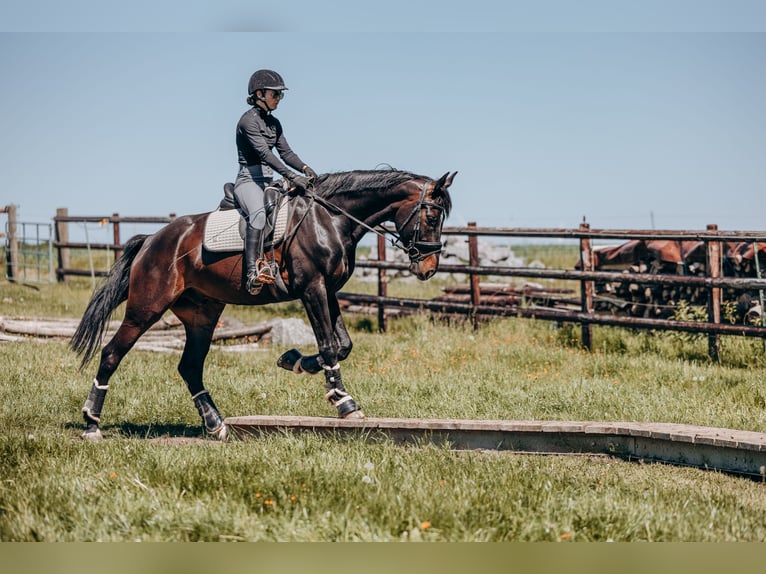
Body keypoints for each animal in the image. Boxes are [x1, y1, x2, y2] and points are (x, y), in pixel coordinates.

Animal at [70, 168, 456, 441]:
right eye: (432, 216)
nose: (428, 268)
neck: (330, 219)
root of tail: (153, 239)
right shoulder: (312, 289)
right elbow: (330, 346)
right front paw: (344, 403)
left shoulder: (328, 290)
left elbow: (342, 345)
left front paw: (293, 360)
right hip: (146, 308)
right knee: (112, 354)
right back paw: (91, 424)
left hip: (202, 314)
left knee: (190, 367)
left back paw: (216, 425)